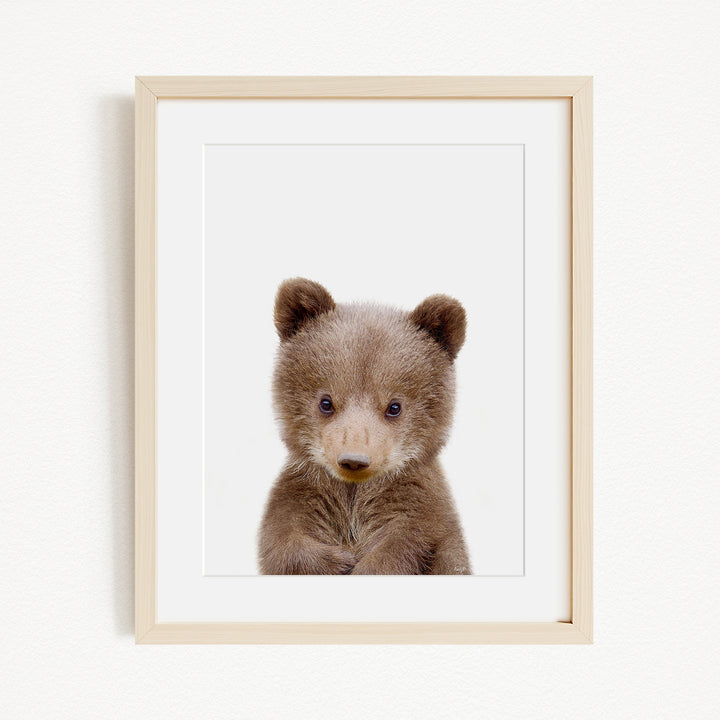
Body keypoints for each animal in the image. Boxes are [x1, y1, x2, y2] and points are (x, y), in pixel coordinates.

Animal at [257, 277, 471, 575]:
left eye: (394, 406)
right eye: (326, 402)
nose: (354, 460)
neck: (353, 494)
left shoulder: (418, 509)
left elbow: (406, 544)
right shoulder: (304, 494)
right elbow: (282, 540)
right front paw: (339, 561)